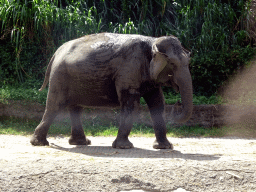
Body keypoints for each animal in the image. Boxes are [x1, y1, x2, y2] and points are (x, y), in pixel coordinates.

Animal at [30, 32, 193, 150]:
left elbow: (157, 103)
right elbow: (131, 104)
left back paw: (81, 142)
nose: (178, 103)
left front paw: (165, 147)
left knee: (75, 108)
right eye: (172, 63)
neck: (152, 41)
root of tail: (56, 52)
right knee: (55, 106)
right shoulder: (129, 70)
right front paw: (124, 147)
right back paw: (39, 143)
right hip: (60, 77)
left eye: (188, 62)